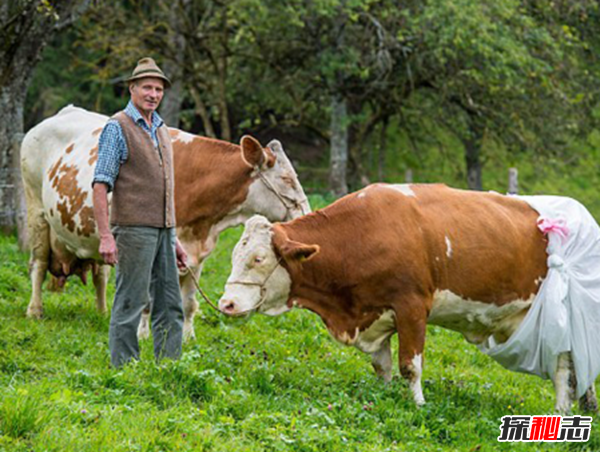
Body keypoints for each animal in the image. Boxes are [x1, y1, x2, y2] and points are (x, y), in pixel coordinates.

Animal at [19, 106, 310, 340]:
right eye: (286, 179)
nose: (306, 213)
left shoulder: (196, 255)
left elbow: (189, 301)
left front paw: (187, 337)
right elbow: (147, 300)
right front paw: (143, 335)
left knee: (100, 275)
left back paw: (102, 313)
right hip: (36, 211)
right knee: (39, 264)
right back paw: (35, 310)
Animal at [219, 182, 600, 412]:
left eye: (259, 259)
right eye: (235, 255)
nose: (227, 303)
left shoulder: (413, 306)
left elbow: (410, 365)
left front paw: (417, 404)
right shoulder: (375, 312)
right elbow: (382, 365)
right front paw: (384, 395)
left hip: (557, 318)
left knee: (563, 367)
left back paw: (560, 412)